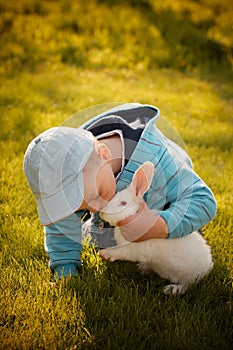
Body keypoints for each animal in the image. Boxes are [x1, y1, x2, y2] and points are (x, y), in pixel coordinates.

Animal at [98, 162, 213, 296]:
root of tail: (209, 265)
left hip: (189, 276)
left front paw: (105, 254)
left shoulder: (135, 249)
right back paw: (144, 268)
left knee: (187, 285)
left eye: (123, 203)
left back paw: (171, 290)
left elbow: (121, 252)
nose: (102, 212)